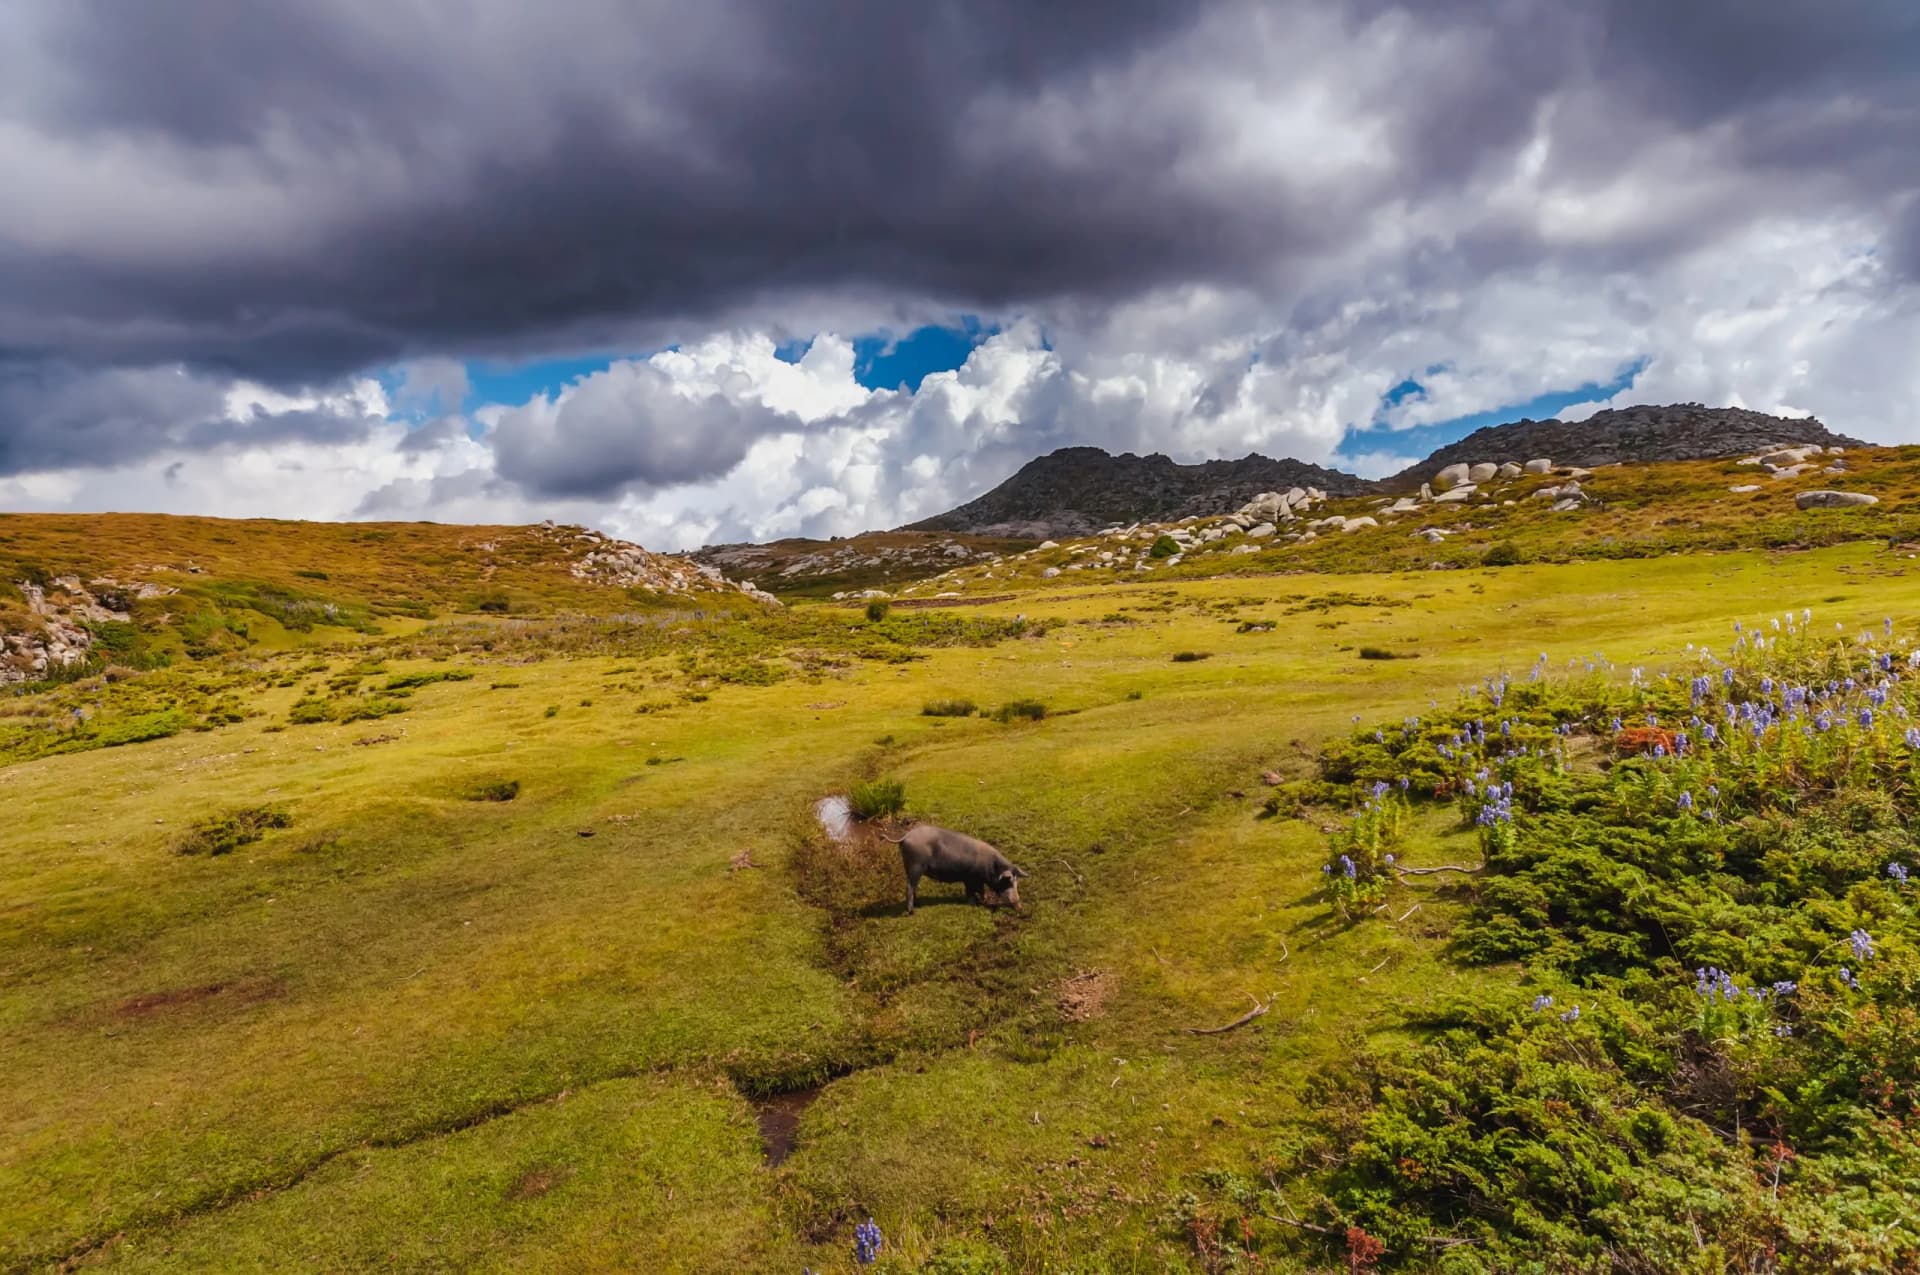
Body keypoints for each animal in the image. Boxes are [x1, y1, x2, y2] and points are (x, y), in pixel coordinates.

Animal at [892, 824, 1026, 914]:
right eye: (1008, 882)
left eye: (1017, 882)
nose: (1019, 907)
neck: (990, 867)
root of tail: (906, 836)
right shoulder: (971, 878)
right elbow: (973, 891)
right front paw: (975, 904)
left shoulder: (973, 879)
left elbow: (979, 891)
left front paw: (981, 901)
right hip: (915, 866)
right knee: (909, 886)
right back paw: (911, 912)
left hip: (910, 867)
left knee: (912, 886)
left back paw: (918, 905)